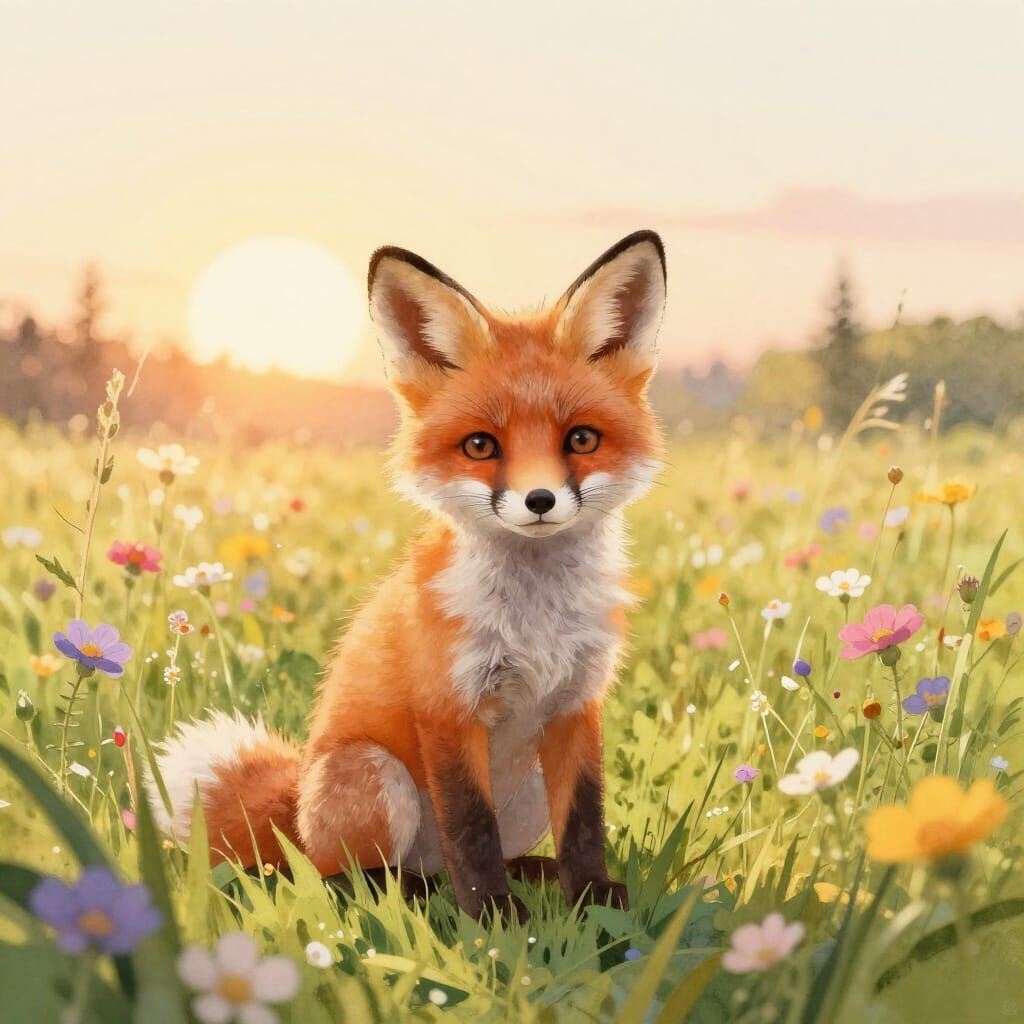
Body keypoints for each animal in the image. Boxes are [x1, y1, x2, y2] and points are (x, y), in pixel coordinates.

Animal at [149, 229, 667, 921]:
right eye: (480, 446)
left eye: (581, 439)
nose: (539, 501)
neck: (536, 621)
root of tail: (296, 813)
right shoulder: (448, 708)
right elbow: (471, 826)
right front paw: (493, 917)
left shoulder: (576, 705)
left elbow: (584, 819)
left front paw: (591, 899)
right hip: (374, 773)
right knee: (344, 878)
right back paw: (412, 895)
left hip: (526, 784)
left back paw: (529, 873)